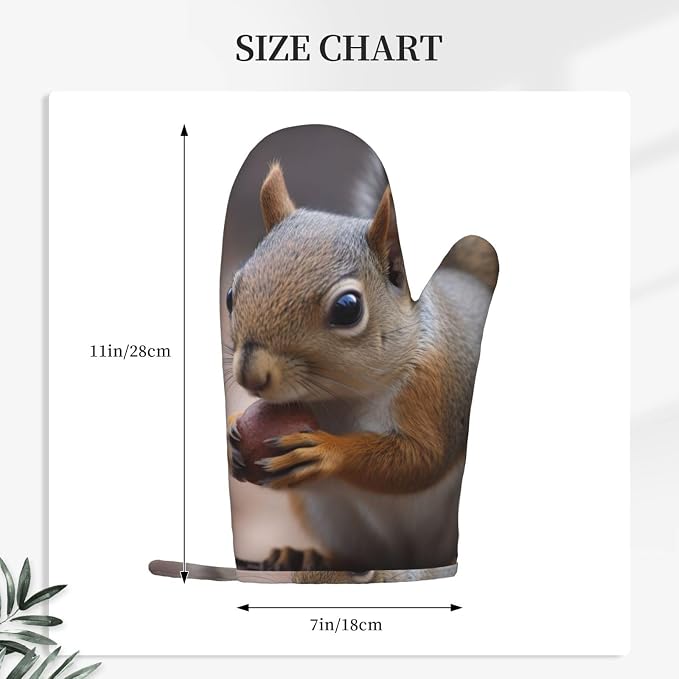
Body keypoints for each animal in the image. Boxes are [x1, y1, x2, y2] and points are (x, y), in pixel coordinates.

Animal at [225, 161, 498, 575]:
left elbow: (422, 458)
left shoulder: (435, 387)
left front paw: (328, 451)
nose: (250, 376)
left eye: (347, 308)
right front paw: (230, 432)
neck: (344, 395)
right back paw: (308, 557)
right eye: (230, 294)